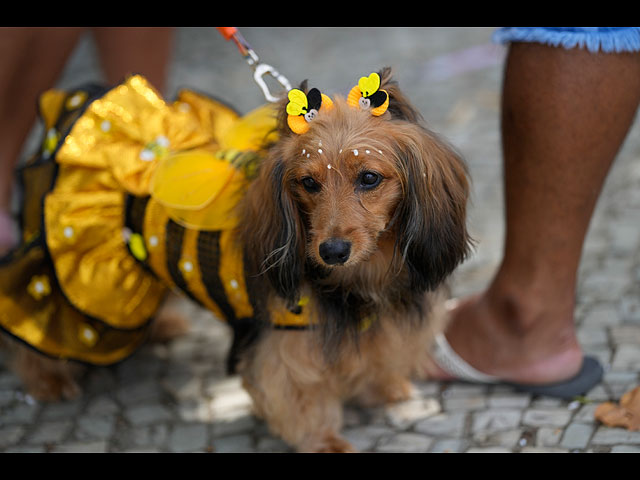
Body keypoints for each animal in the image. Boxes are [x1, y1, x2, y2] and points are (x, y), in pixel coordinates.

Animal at [235, 67, 470, 450]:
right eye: (308, 182)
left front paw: (386, 390)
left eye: (369, 178)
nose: (332, 252)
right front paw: (323, 440)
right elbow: (300, 393)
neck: (362, 279)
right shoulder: (289, 342)